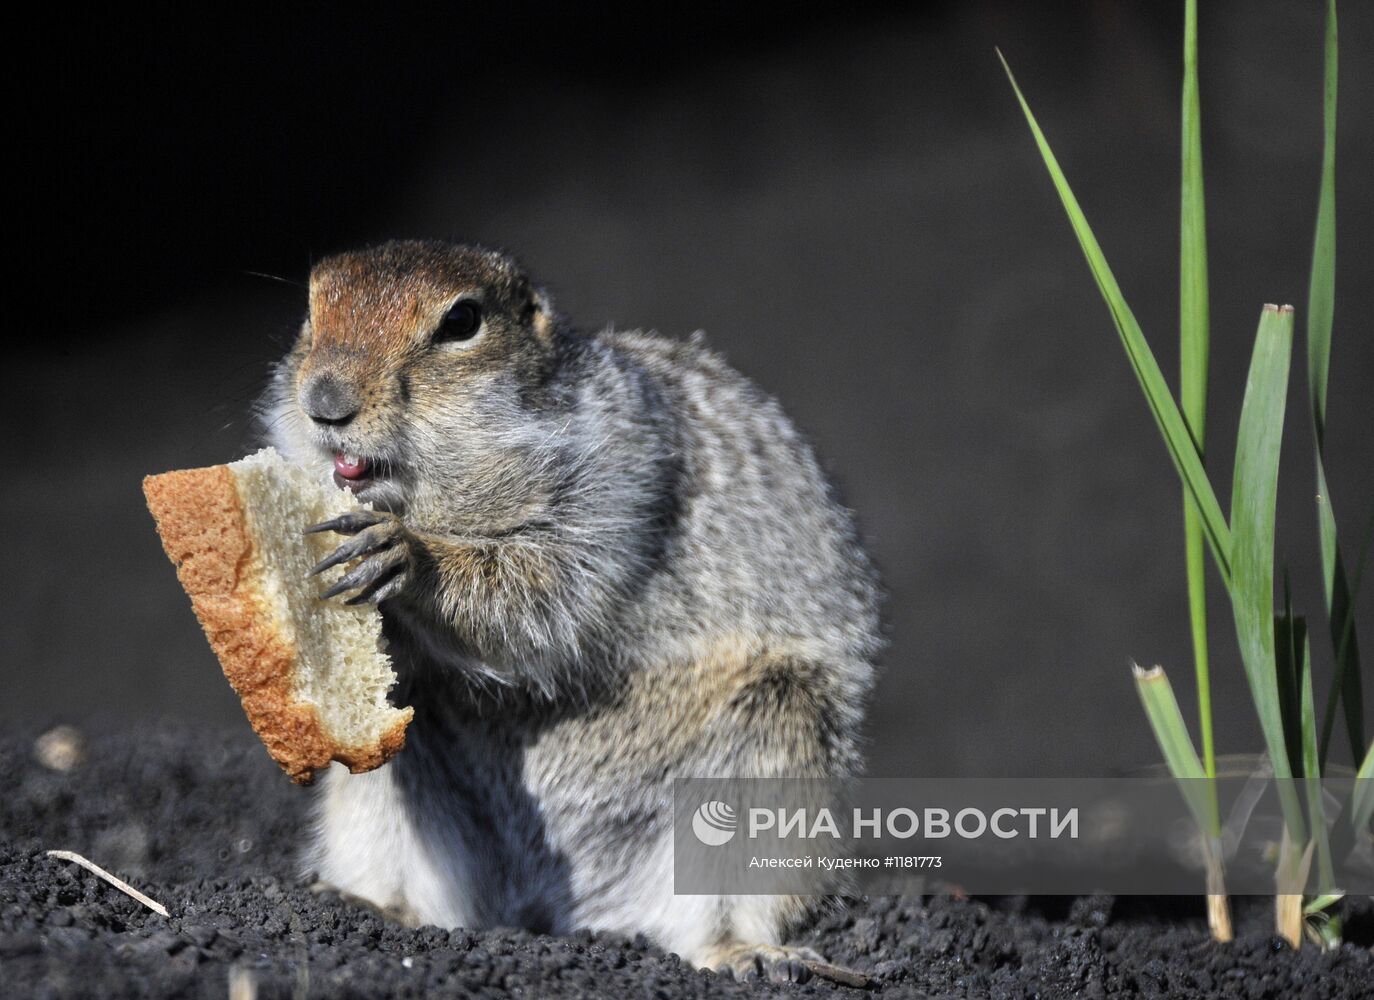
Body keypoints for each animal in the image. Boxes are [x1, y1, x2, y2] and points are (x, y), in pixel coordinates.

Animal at [259, 241, 879, 983]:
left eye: (461, 322)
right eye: (311, 306)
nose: (324, 402)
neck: (449, 498)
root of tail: (557, 907)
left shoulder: (619, 478)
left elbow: (541, 590)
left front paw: (406, 556)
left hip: (779, 739)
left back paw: (748, 953)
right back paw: (365, 904)